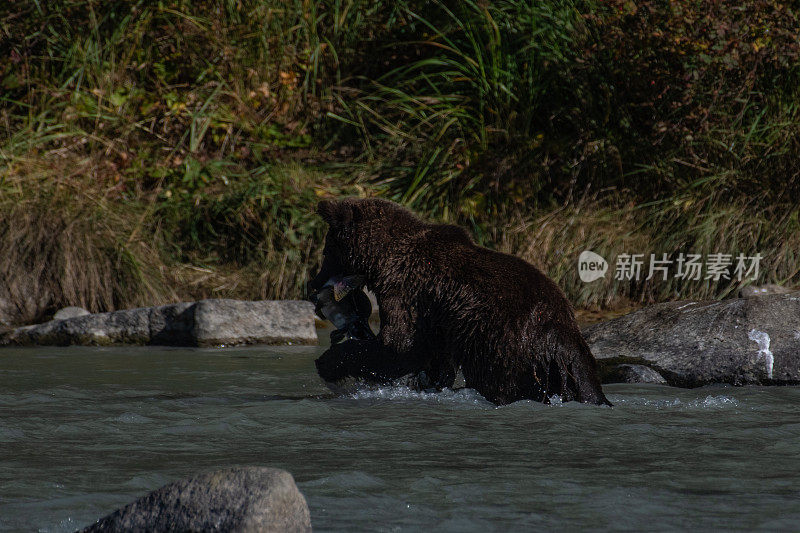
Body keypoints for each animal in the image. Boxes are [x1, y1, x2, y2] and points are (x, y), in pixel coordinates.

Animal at [310, 197, 608, 406]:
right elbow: (431, 356)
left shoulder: (407, 293)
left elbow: (399, 346)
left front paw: (328, 361)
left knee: (501, 381)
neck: (384, 260)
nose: (313, 283)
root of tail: (561, 333)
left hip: (502, 340)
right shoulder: (437, 316)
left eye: (326, 250)